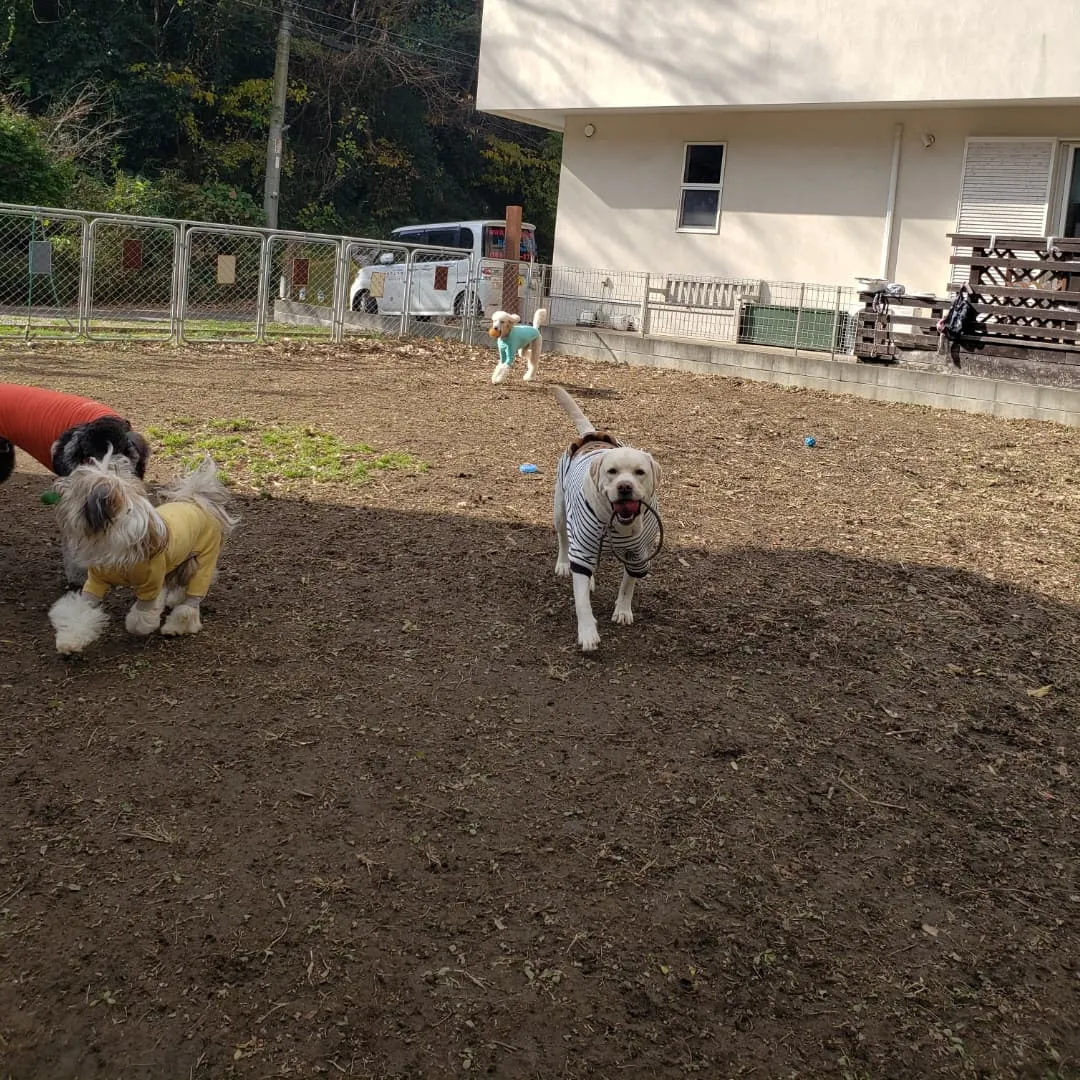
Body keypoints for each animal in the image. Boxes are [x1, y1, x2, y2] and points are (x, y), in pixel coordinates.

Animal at [552, 386, 660, 648]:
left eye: (640, 472)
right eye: (612, 471)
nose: (624, 487)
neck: (617, 525)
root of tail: (591, 435)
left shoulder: (638, 554)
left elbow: (628, 584)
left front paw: (622, 610)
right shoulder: (582, 545)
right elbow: (581, 600)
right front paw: (587, 632)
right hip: (560, 513)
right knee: (564, 541)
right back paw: (564, 564)